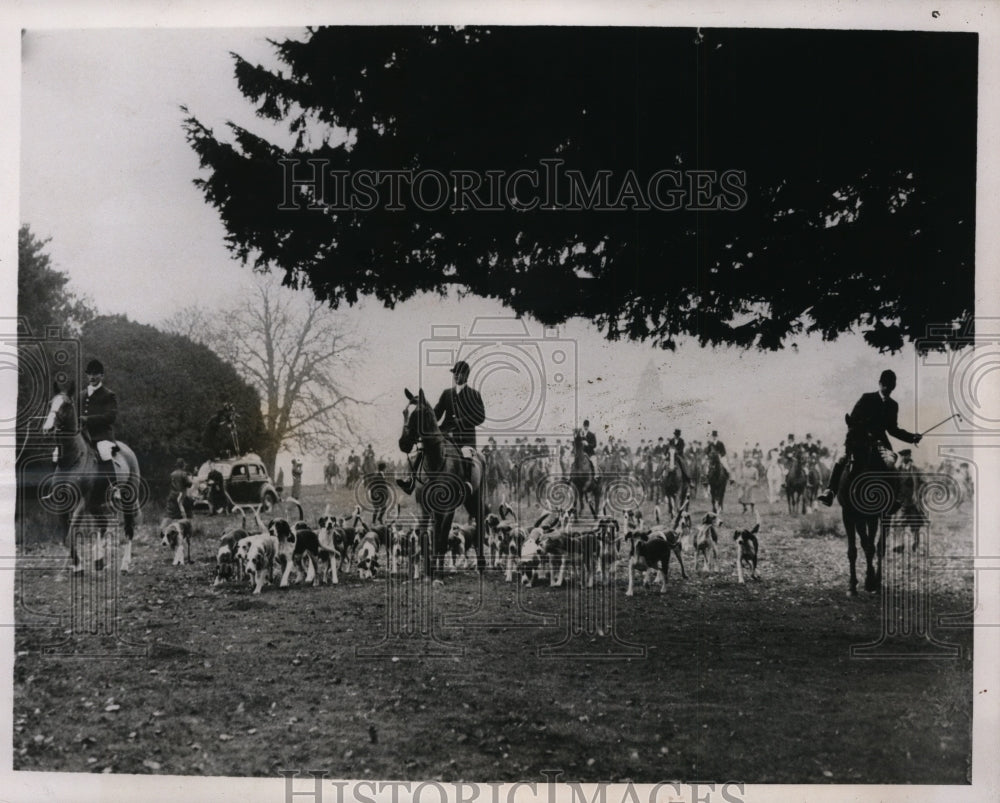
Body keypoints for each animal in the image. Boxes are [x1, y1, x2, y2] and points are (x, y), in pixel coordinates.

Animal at [40, 386, 142, 576]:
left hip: (127, 498)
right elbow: (66, 535)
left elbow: (72, 533)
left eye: (66, 405)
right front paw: (77, 565)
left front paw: (78, 566)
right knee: (103, 524)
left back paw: (124, 565)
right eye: (51, 404)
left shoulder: (82, 501)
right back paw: (99, 560)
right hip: (95, 503)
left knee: (128, 529)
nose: (48, 429)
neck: (72, 460)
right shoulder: (63, 503)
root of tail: (127, 449)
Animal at [402, 388, 488, 580]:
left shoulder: (449, 508)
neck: (435, 461)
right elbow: (427, 537)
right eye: (404, 412)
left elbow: (441, 540)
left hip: (475, 499)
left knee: (479, 524)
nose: (402, 444)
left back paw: (480, 565)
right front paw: (429, 572)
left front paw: (438, 576)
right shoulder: (424, 506)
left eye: (418, 413)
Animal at [840, 418, 896, 592]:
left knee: (879, 546)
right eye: (846, 442)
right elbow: (854, 550)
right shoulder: (848, 515)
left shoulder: (874, 516)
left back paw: (877, 582)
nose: (852, 474)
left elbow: (872, 547)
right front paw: (853, 585)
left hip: (883, 517)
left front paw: (871, 580)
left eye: (866, 442)